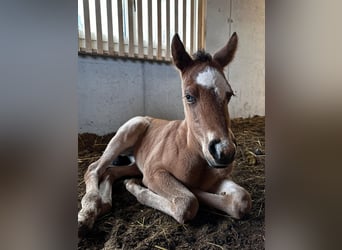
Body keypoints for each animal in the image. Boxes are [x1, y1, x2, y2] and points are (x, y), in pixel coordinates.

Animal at [79, 32, 252, 233]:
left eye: (229, 94)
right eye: (189, 96)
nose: (223, 152)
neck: (191, 150)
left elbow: (241, 200)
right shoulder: (154, 172)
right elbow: (187, 202)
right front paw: (137, 187)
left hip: (136, 163)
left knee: (110, 172)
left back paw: (105, 202)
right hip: (127, 132)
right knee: (94, 168)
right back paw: (88, 211)